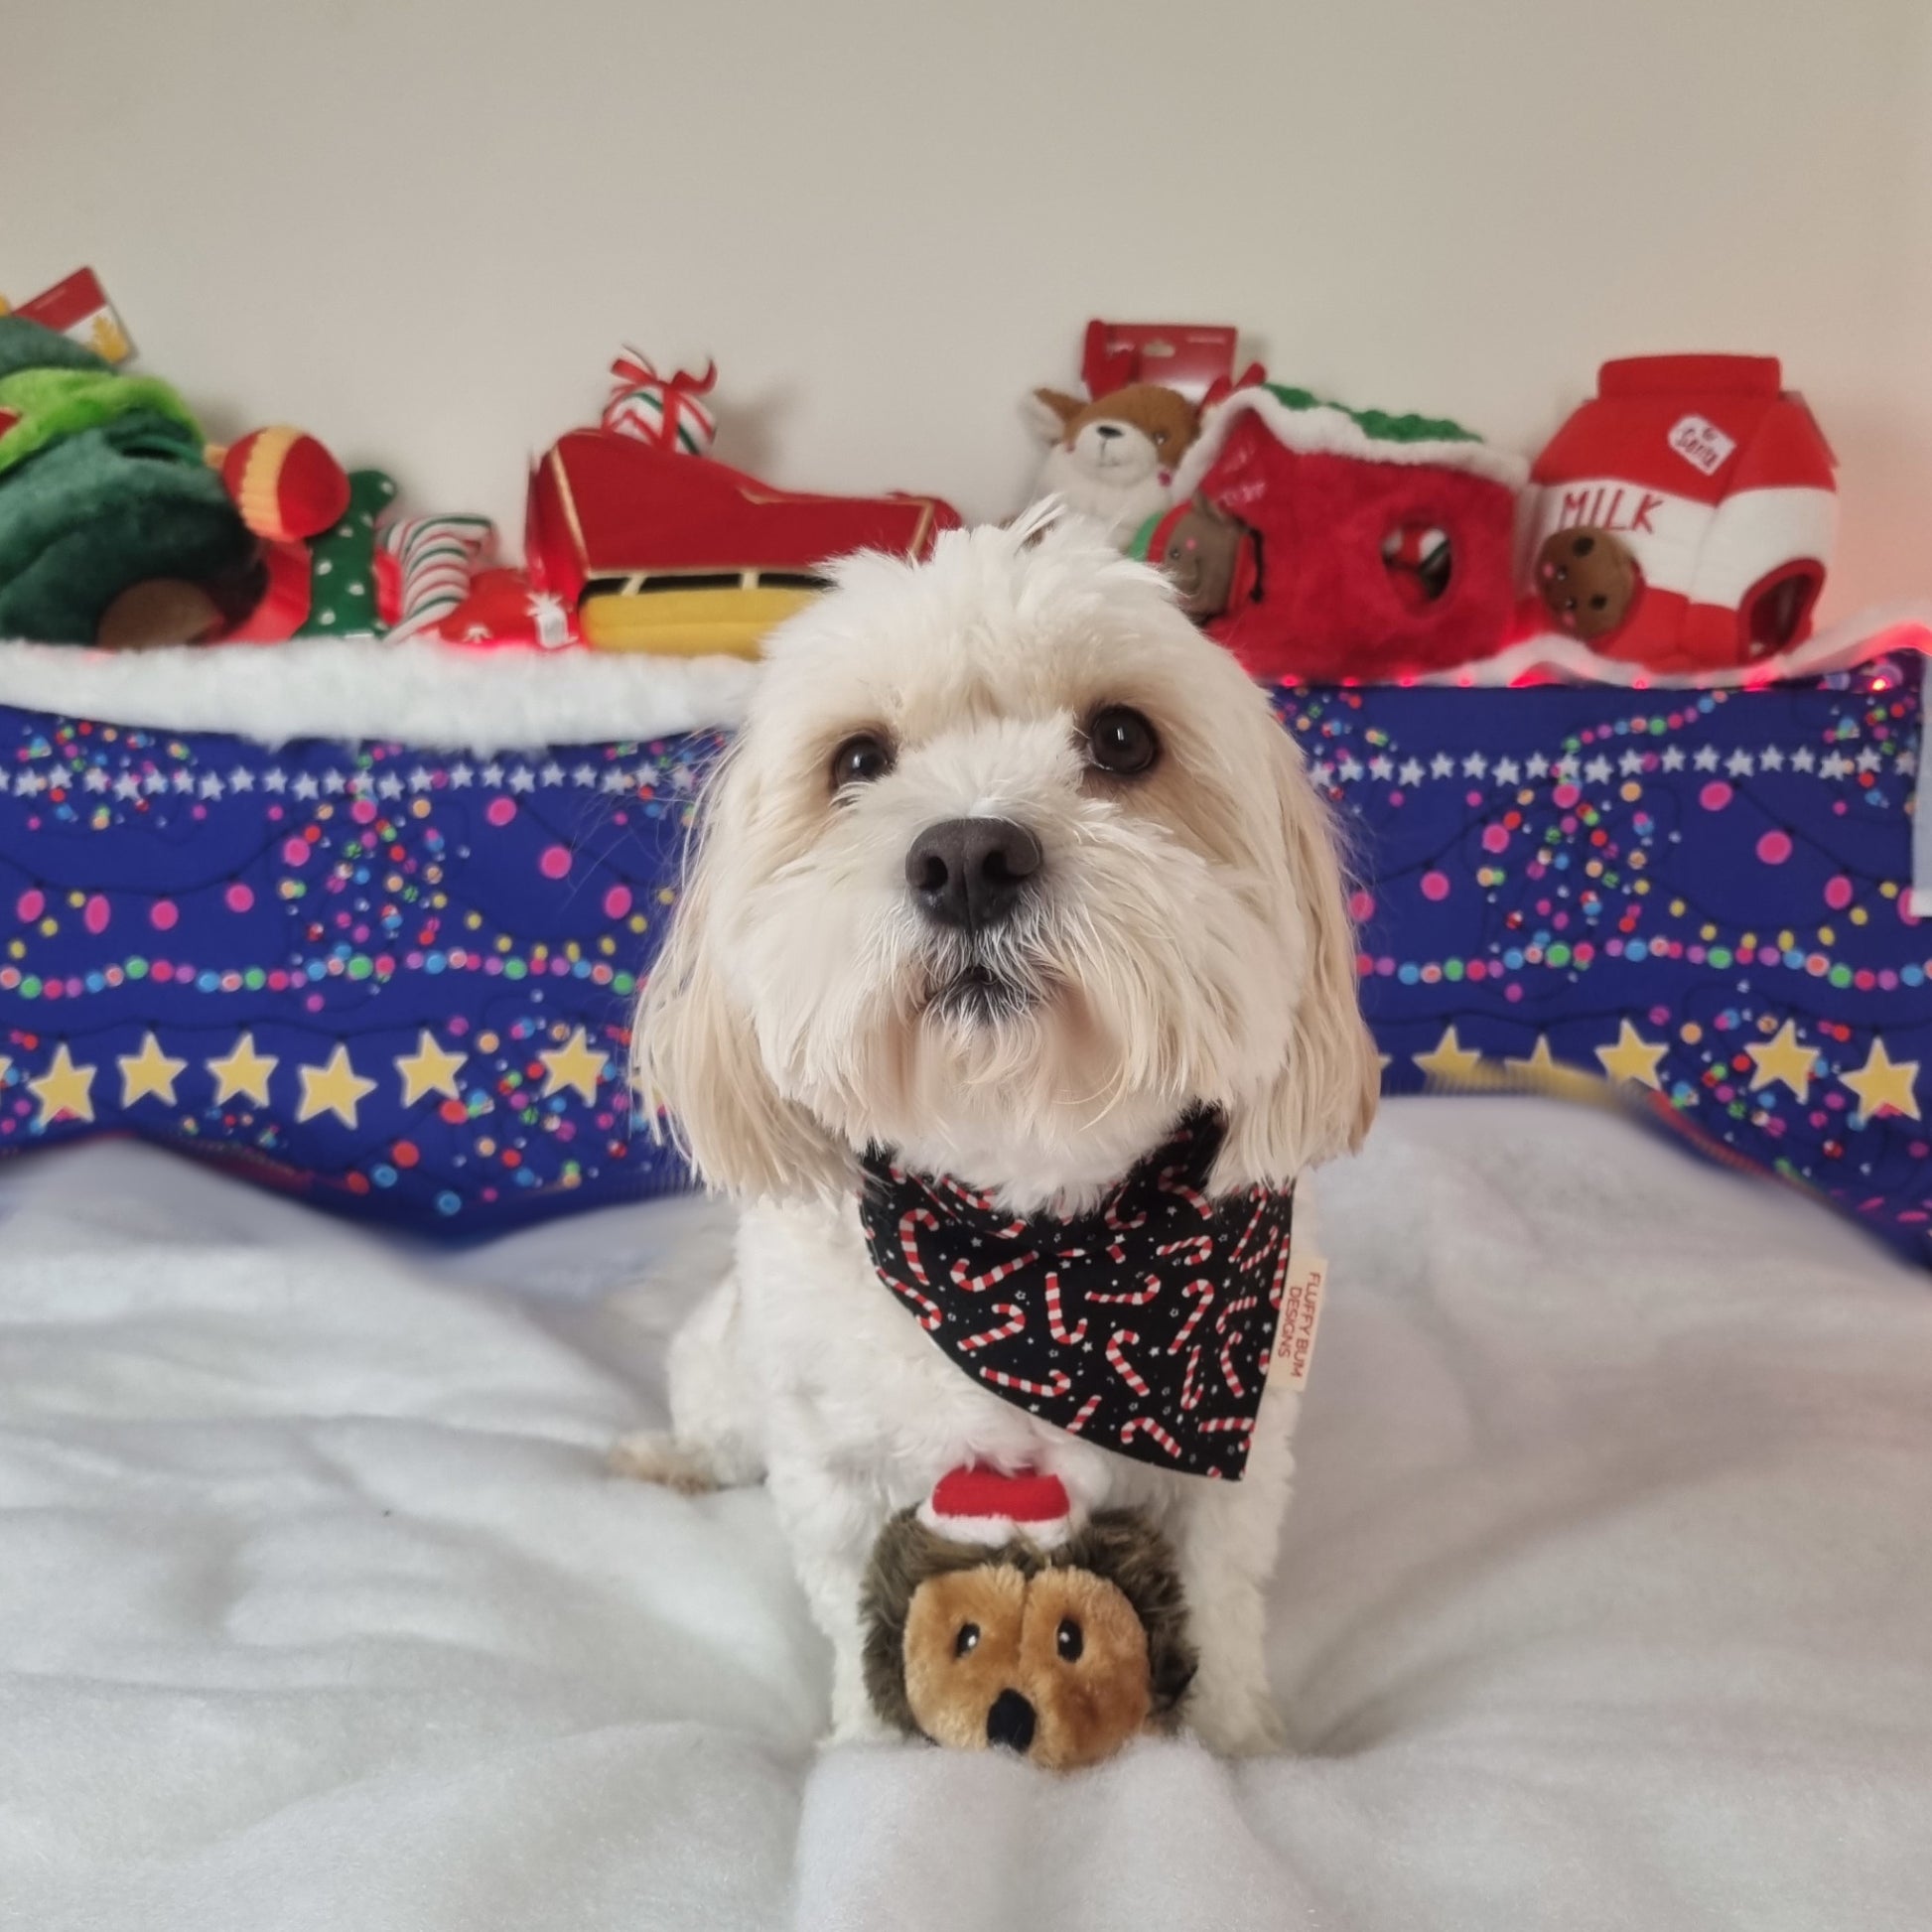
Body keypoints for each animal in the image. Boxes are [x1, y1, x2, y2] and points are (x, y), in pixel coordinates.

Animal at [618, 513, 1375, 1753]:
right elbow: (850, 1617)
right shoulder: (831, 1472)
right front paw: (869, 1756)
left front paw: (1236, 1746)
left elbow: (1219, 1612)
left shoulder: (1231, 1473)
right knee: (716, 1427)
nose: (966, 856)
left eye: (1121, 737)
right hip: (725, 1367)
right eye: (856, 761)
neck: (1026, 1245)